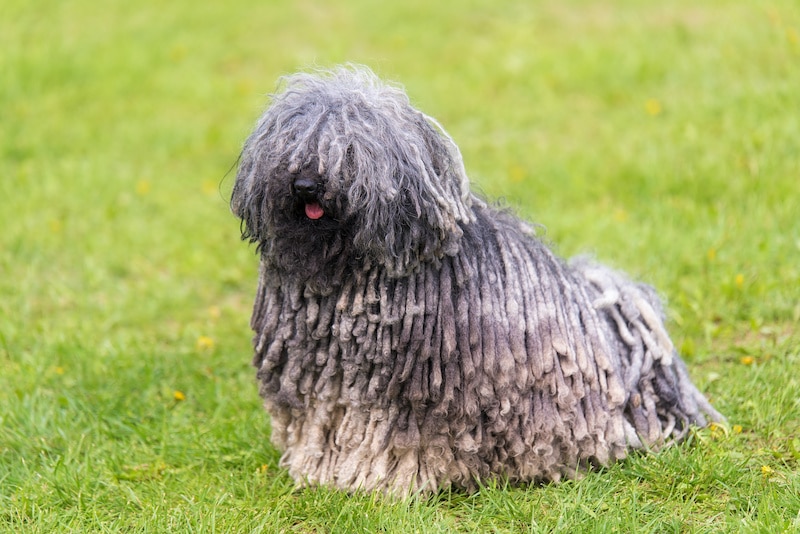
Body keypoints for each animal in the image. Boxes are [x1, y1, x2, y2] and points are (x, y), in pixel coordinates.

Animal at [231, 65, 724, 496]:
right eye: (291, 145)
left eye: (349, 152)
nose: (306, 185)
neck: (348, 277)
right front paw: (316, 469)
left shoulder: (407, 393)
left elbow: (387, 436)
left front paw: (375, 480)